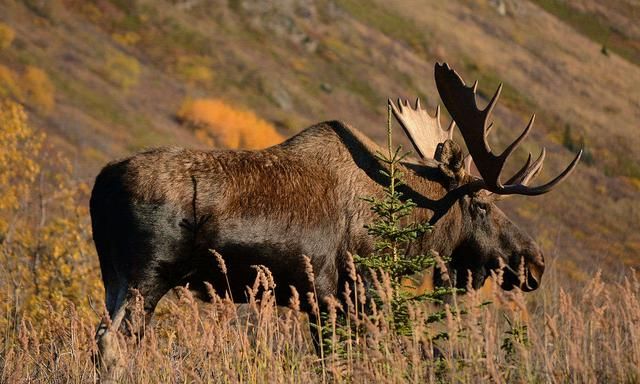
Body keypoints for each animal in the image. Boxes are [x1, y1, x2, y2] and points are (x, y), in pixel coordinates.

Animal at [92, 63, 584, 368]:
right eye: (482, 205)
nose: (535, 263)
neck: (406, 226)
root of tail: (100, 186)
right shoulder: (340, 295)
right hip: (147, 275)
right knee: (113, 344)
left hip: (114, 276)